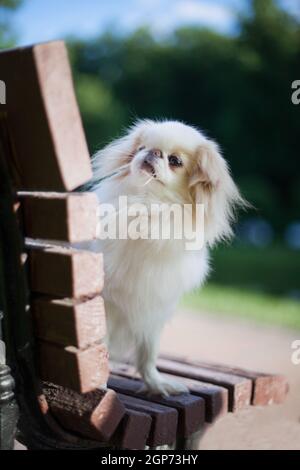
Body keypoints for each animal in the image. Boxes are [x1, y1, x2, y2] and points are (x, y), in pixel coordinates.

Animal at [87, 120, 244, 396]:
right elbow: (100, 346)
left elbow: (148, 354)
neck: (148, 209)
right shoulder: (104, 305)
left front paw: (156, 384)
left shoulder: (154, 307)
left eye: (175, 161)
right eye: (141, 148)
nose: (152, 153)